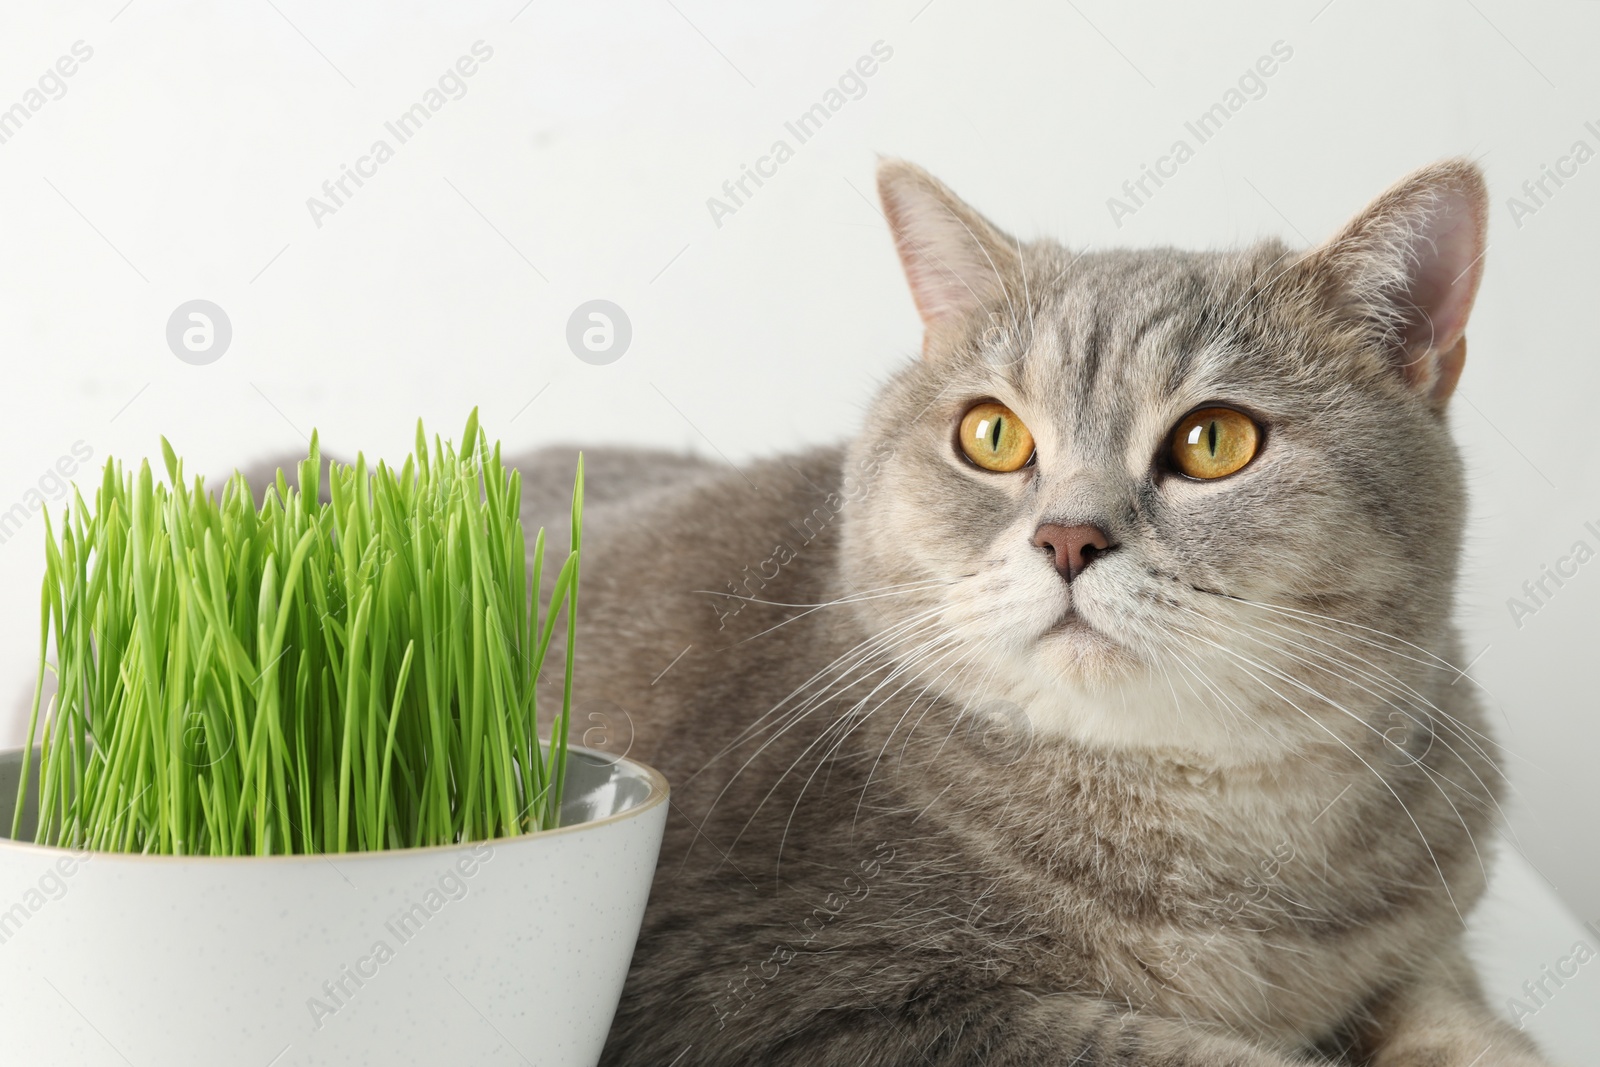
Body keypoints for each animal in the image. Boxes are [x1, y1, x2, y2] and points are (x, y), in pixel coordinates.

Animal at [512, 160, 1548, 1067]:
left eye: (1214, 440)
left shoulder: (1426, 947)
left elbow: (1472, 1028)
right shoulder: (774, 993)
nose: (1068, 538)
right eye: (993, 434)